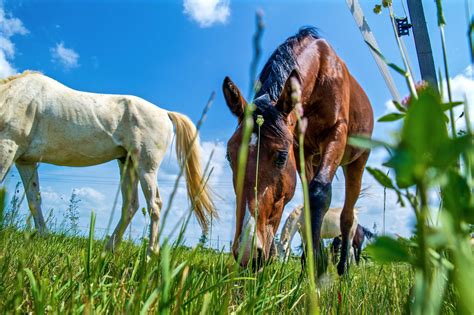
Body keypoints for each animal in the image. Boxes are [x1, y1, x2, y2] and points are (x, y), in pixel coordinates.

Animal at [0, 71, 217, 254]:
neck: (14, 97)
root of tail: (164, 112)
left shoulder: (8, 146)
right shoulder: (25, 161)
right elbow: (34, 200)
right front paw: (43, 237)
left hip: (146, 166)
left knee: (154, 204)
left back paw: (149, 254)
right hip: (127, 164)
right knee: (130, 206)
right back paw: (108, 250)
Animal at [223, 27, 374, 276]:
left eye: (281, 156)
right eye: (229, 157)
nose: (247, 253)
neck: (322, 70)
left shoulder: (335, 134)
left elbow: (320, 192)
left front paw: (318, 267)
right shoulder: (302, 150)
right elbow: (310, 201)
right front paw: (312, 262)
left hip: (356, 163)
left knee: (347, 216)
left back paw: (343, 269)